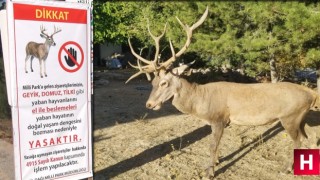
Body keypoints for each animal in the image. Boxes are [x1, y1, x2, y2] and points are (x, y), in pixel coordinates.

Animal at [125, 6, 320, 178]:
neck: (200, 102)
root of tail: (312, 94)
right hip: (302, 117)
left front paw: (209, 172)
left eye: (164, 82)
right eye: (152, 82)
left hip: (290, 117)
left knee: (299, 140)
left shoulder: (219, 118)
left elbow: (212, 145)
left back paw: (286, 168)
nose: (149, 104)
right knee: (311, 137)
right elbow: (216, 146)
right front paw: (217, 162)